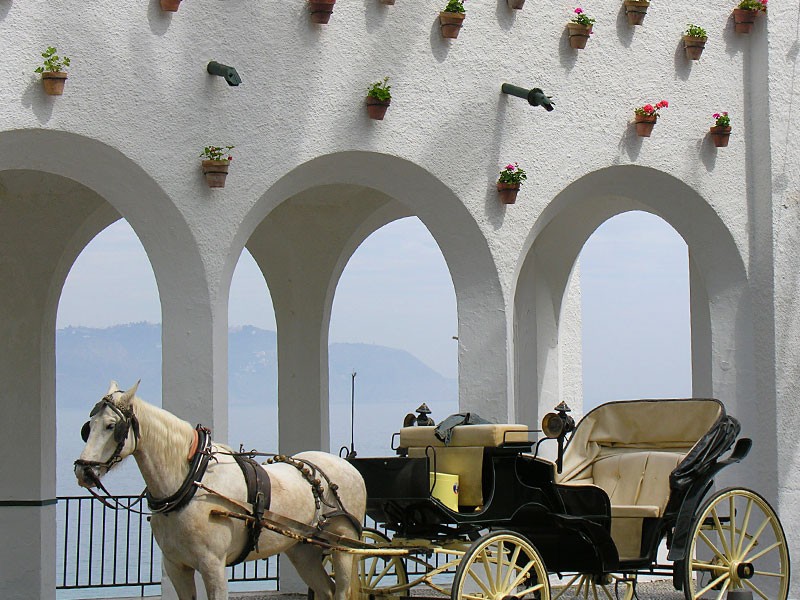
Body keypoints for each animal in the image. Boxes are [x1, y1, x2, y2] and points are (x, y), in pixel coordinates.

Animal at [73, 382, 368, 596]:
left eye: (112, 426)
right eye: (88, 427)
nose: (83, 470)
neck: (191, 482)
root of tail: (347, 466)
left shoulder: (213, 565)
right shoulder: (175, 566)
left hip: (343, 546)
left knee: (341, 591)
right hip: (302, 550)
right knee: (326, 590)